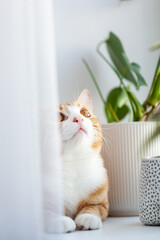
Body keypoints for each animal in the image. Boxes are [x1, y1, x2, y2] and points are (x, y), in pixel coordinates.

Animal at [49, 88, 109, 232]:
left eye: (85, 113)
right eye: (59, 117)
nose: (79, 118)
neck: (72, 162)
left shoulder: (103, 204)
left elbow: (93, 207)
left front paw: (88, 217)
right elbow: (47, 212)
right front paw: (59, 221)